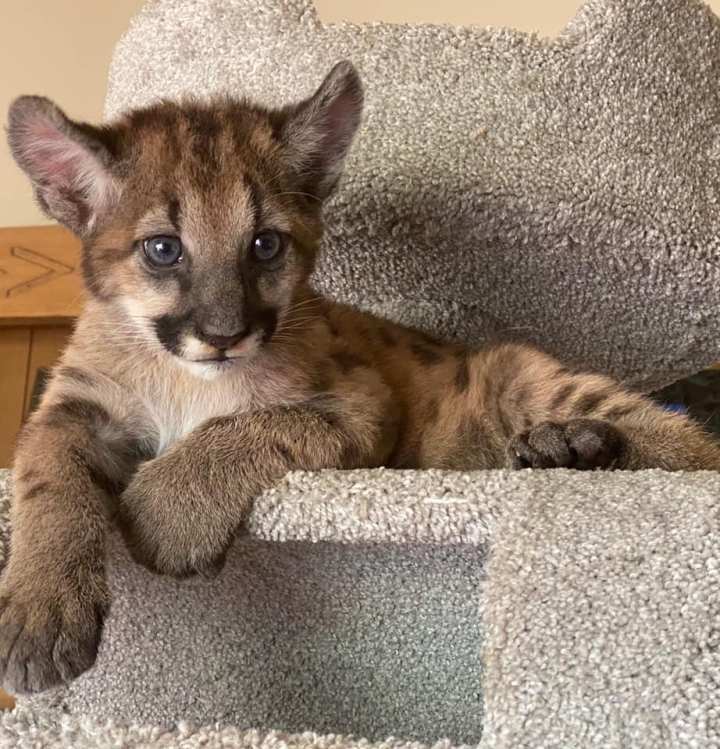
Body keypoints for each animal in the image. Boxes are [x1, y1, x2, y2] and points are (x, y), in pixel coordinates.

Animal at [4, 61, 720, 692]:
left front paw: (166, 512)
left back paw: (574, 443)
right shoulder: (75, 405)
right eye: (162, 249)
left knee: (690, 447)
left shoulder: (362, 401)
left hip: (521, 372)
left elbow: (252, 424)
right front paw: (41, 612)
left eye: (265, 244)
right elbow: (47, 473)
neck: (183, 377)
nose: (226, 333)